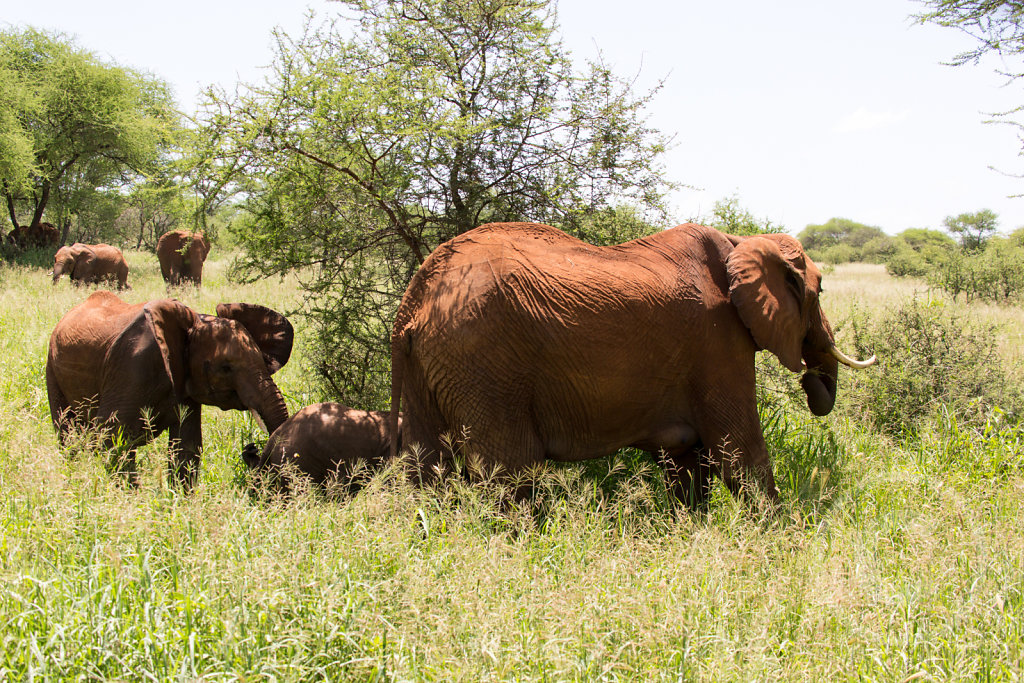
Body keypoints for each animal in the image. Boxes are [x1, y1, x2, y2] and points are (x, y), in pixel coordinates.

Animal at [49, 290, 294, 489]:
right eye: (225, 368)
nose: (251, 448)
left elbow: (186, 447)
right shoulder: (130, 369)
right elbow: (113, 437)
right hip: (52, 369)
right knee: (67, 433)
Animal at [387, 224, 876, 507]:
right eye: (821, 290)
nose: (812, 381)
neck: (743, 243)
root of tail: (415, 298)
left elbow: (687, 465)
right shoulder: (718, 342)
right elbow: (739, 452)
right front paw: (778, 541)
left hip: (435, 364)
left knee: (427, 467)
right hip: (483, 362)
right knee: (511, 473)